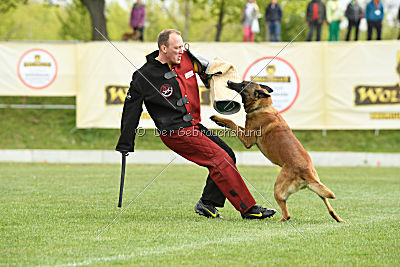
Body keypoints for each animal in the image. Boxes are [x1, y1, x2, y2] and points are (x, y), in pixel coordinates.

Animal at [211, 80, 346, 223]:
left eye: (243, 85)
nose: (229, 81)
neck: (262, 106)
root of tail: (306, 172)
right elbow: (236, 125)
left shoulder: (247, 140)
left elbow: (232, 122)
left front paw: (218, 118)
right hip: (317, 185)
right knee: (326, 201)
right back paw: (337, 218)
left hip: (278, 188)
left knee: (287, 215)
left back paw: (278, 220)